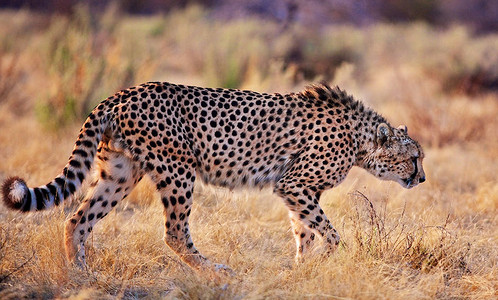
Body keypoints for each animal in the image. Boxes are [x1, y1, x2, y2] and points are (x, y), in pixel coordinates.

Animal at [1, 81, 426, 274]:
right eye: (414, 158)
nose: (421, 180)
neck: (360, 139)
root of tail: (124, 91)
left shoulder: (297, 190)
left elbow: (304, 230)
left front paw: (301, 267)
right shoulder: (294, 185)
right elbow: (329, 232)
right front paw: (324, 259)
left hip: (118, 174)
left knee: (77, 219)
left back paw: (80, 273)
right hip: (177, 170)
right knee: (174, 233)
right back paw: (213, 269)